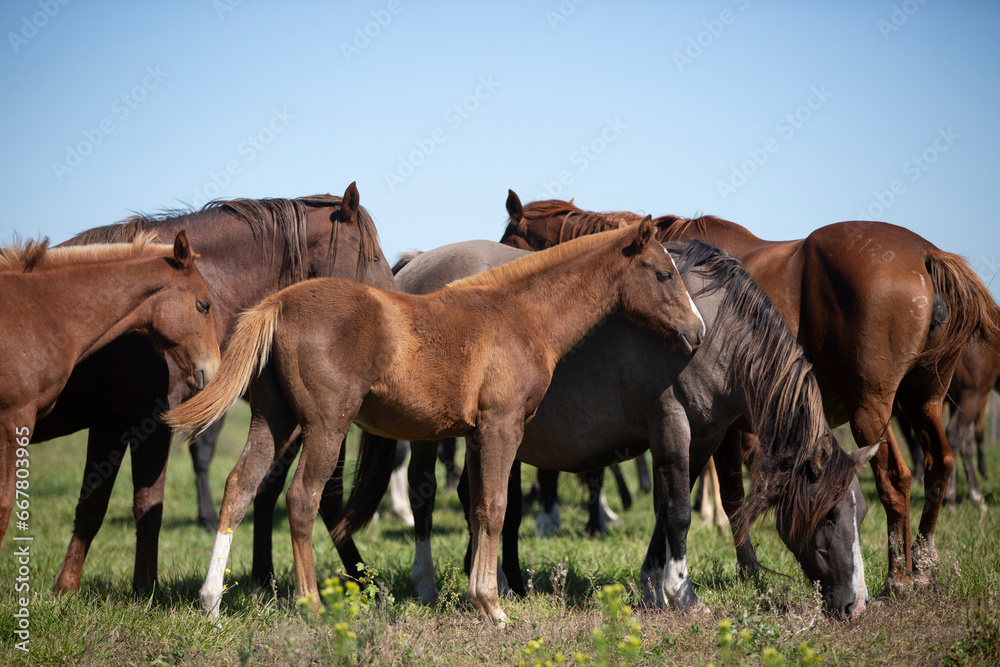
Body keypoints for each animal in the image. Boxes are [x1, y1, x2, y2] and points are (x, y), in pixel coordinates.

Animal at [30, 183, 394, 596]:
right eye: (374, 256)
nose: (395, 308)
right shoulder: (149, 421)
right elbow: (148, 507)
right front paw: (146, 592)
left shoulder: (109, 424)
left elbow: (91, 506)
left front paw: (66, 589)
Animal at [164, 219, 708, 628]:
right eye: (663, 274)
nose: (697, 331)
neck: (520, 314)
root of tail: (278, 303)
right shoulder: (502, 427)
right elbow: (496, 508)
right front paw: (493, 606)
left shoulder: (475, 436)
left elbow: (478, 508)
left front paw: (482, 597)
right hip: (325, 426)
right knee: (302, 499)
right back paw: (312, 604)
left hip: (275, 422)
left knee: (240, 486)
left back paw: (211, 603)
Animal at [340, 240, 880, 620]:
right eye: (831, 515)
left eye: (861, 511)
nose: (856, 606)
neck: (714, 330)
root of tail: (415, 263)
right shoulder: (670, 424)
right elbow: (678, 511)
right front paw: (682, 593)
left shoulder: (703, 437)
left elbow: (665, 510)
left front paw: (652, 585)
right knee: (425, 492)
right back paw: (428, 583)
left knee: (475, 497)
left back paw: (500, 582)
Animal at [504, 192, 1000, 596]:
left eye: (509, 241)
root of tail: (926, 254)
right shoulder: (721, 426)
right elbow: (719, 494)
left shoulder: (716, 426)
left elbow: (722, 495)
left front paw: (741, 568)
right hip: (923, 400)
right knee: (940, 462)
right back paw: (924, 565)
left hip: (873, 410)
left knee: (896, 477)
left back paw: (899, 575)